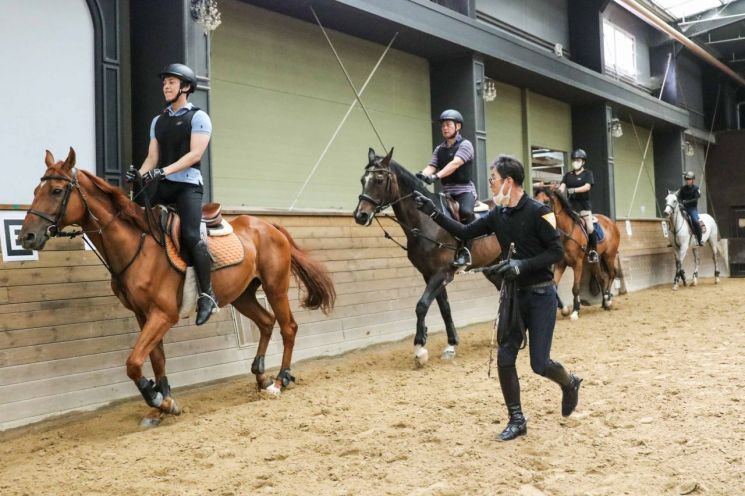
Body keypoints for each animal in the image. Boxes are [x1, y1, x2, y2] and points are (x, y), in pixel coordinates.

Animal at [19, 147, 334, 426]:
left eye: (56, 191)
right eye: (35, 191)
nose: (27, 237)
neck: (138, 246)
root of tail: (269, 225)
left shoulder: (163, 314)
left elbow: (133, 362)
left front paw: (159, 400)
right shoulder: (143, 315)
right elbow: (156, 359)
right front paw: (162, 405)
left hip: (275, 287)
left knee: (288, 327)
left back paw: (280, 380)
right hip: (242, 295)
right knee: (267, 322)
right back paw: (261, 376)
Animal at [354, 146, 500, 364]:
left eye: (379, 180)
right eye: (363, 179)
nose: (360, 216)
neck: (426, 222)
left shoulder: (441, 274)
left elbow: (422, 305)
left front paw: (420, 348)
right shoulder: (429, 274)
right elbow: (444, 308)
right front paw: (450, 345)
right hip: (493, 267)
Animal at [532, 187, 620, 322]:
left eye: (546, 201)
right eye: (534, 199)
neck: (566, 231)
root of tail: (611, 222)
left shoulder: (577, 264)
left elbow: (575, 288)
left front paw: (575, 311)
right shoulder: (560, 264)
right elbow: (554, 285)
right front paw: (564, 310)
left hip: (609, 256)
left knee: (612, 274)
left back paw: (608, 300)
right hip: (595, 261)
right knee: (601, 278)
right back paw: (604, 303)